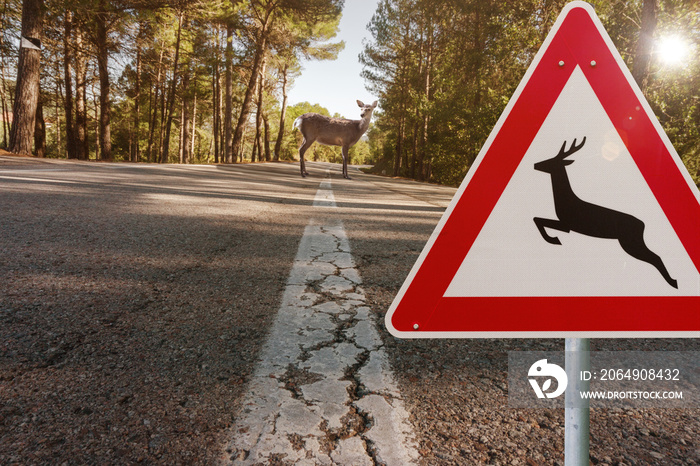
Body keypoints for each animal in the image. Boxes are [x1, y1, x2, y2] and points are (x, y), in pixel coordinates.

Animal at [532, 137, 676, 288]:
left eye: (551, 161)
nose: (535, 164)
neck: (566, 200)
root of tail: (642, 224)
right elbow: (537, 219)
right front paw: (553, 238)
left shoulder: (567, 224)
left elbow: (538, 220)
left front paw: (553, 239)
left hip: (630, 242)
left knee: (655, 257)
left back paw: (673, 282)